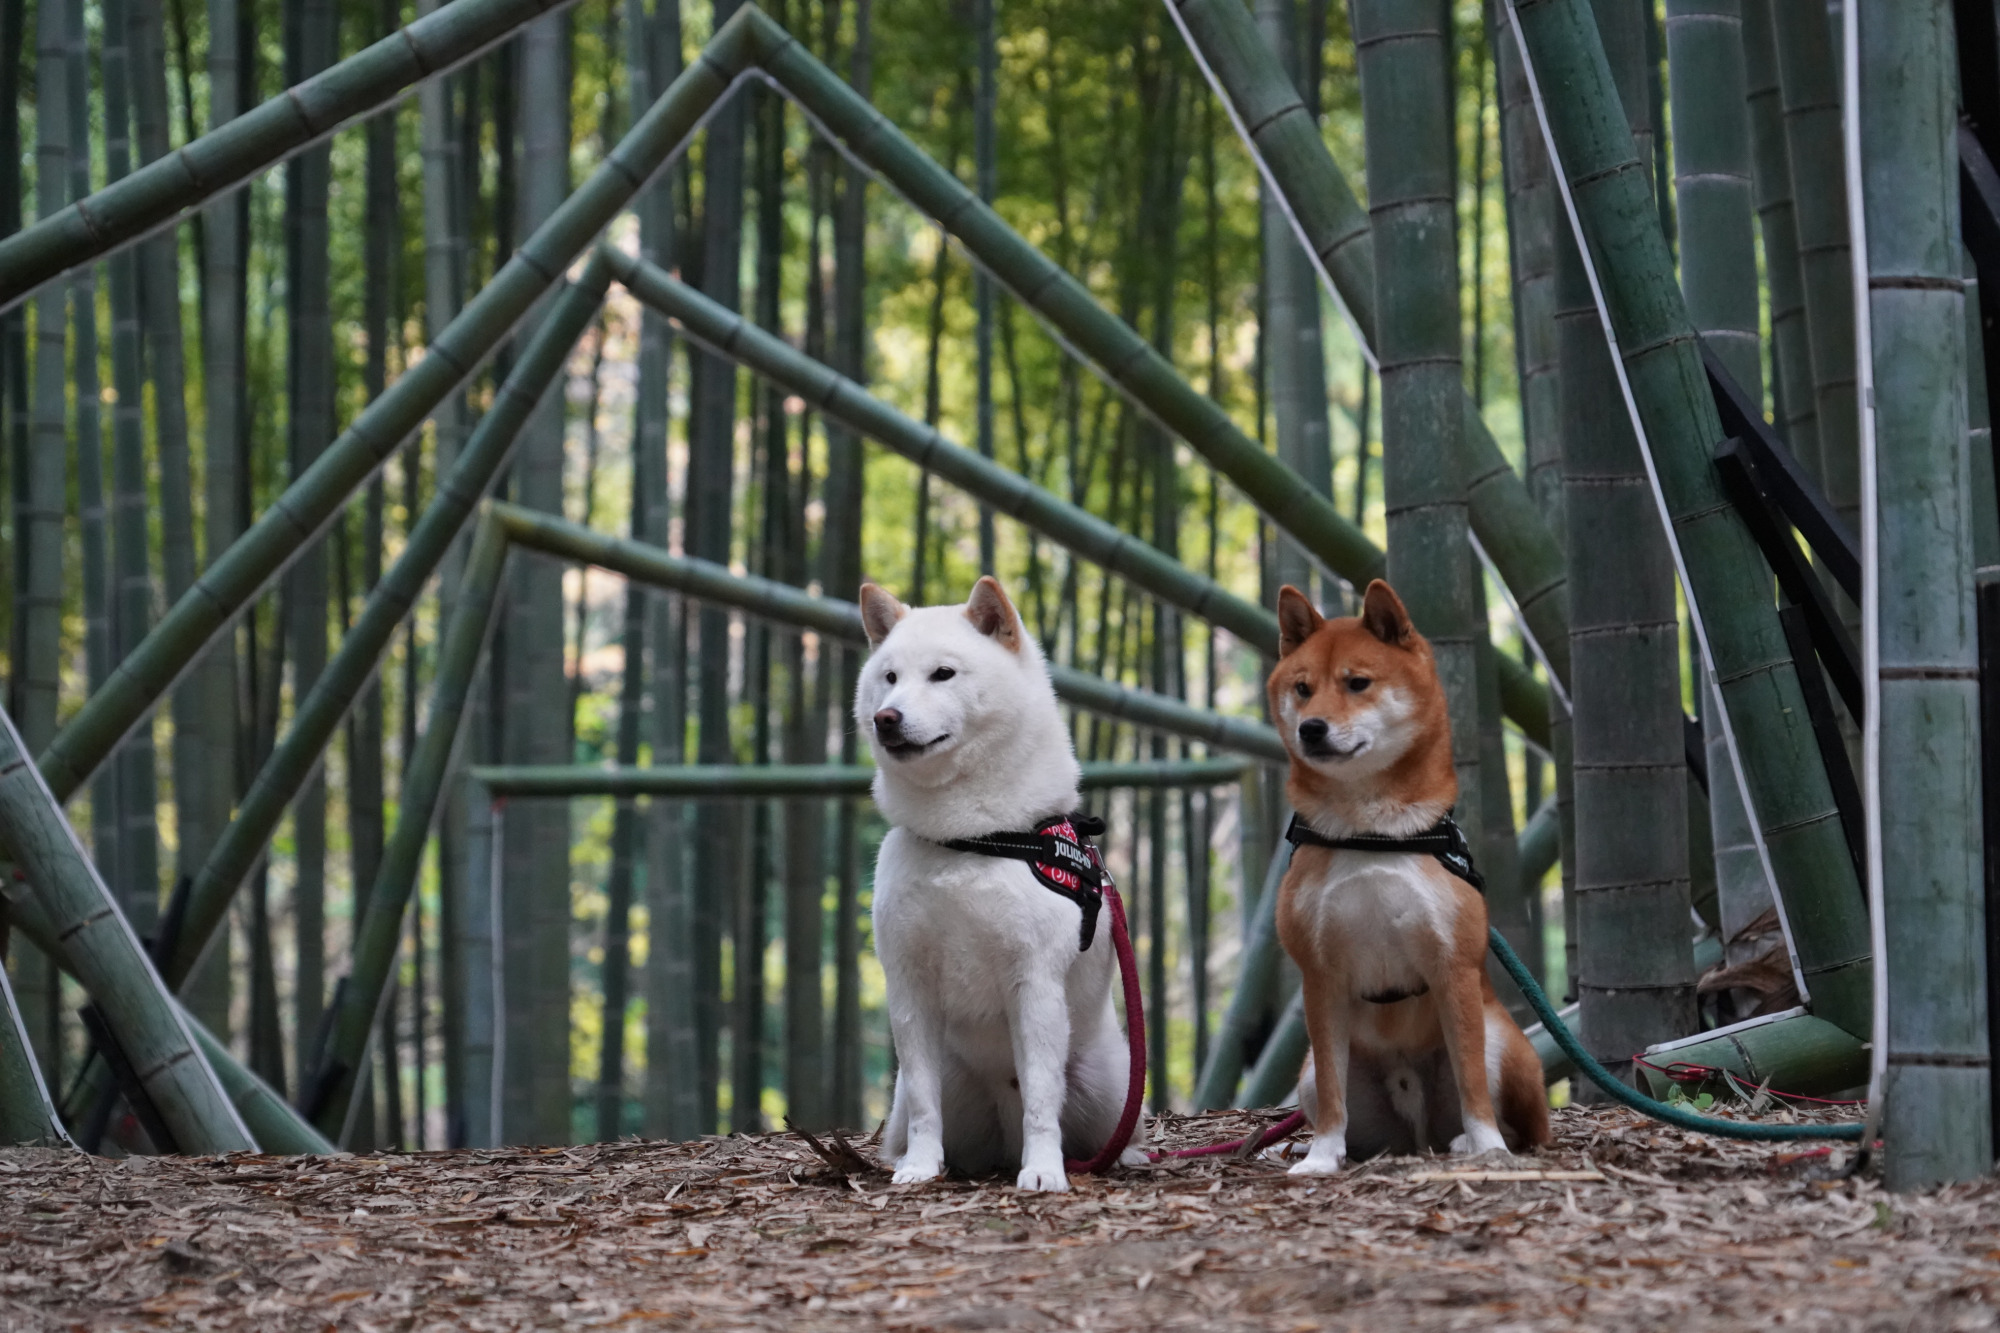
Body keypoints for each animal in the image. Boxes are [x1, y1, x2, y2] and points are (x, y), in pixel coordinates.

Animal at [856, 576, 1144, 1184]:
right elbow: (926, 1101)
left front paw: (1043, 1173)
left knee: (1116, 1125)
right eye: (888, 678)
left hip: (1111, 1081)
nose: (885, 717)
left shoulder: (1034, 978)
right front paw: (920, 1167)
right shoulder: (908, 982)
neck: (973, 837)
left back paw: (1123, 1153)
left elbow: (1040, 1096)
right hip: (929, 1090)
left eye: (943, 673)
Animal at [1264, 576, 1544, 1168]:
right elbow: (1333, 1095)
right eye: (1302, 689)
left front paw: (1488, 1148)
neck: (1370, 834)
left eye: (1357, 683)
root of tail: (1420, 1136)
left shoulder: (1453, 966)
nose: (1311, 728)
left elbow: (1472, 1084)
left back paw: (1469, 1142)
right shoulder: (1319, 978)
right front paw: (1320, 1158)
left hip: (1503, 1041)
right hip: (1308, 1074)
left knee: (1519, 1124)